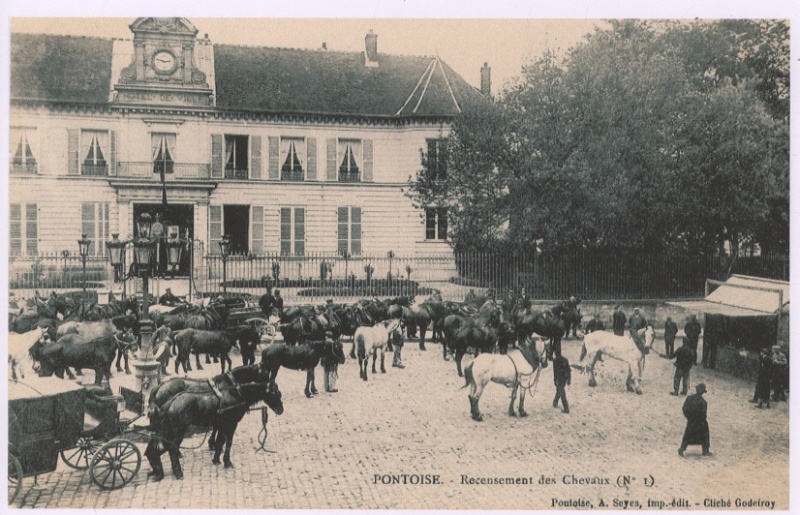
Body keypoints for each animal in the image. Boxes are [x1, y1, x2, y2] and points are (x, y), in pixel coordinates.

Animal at [145, 374, 282, 480]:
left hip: (166, 429)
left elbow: (220, 441)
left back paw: (158, 470)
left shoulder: (221, 424)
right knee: (172, 448)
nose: (281, 410)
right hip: (178, 431)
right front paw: (227, 462)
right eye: (275, 393)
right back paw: (178, 472)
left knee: (158, 446)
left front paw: (216, 458)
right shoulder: (231, 424)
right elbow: (228, 442)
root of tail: (171, 401)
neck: (237, 394)